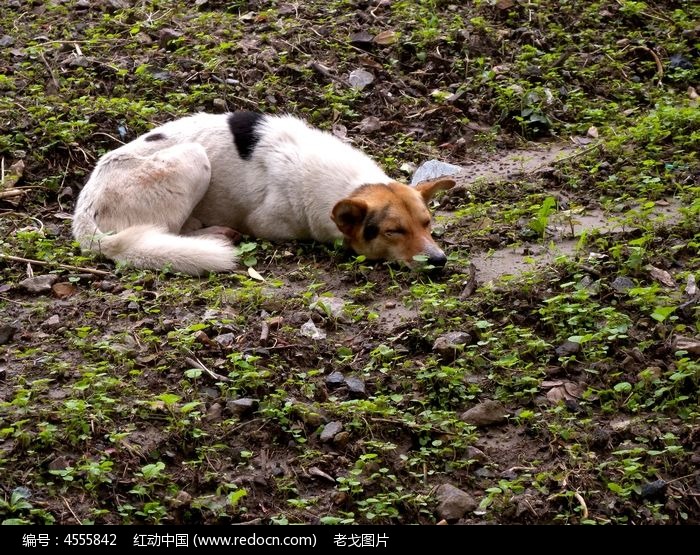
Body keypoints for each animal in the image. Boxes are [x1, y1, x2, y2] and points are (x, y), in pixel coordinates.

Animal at [71, 112, 454, 274]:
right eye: (393, 231)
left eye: (427, 223)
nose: (439, 261)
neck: (348, 186)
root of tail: (83, 212)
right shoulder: (269, 223)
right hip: (194, 157)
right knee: (166, 233)